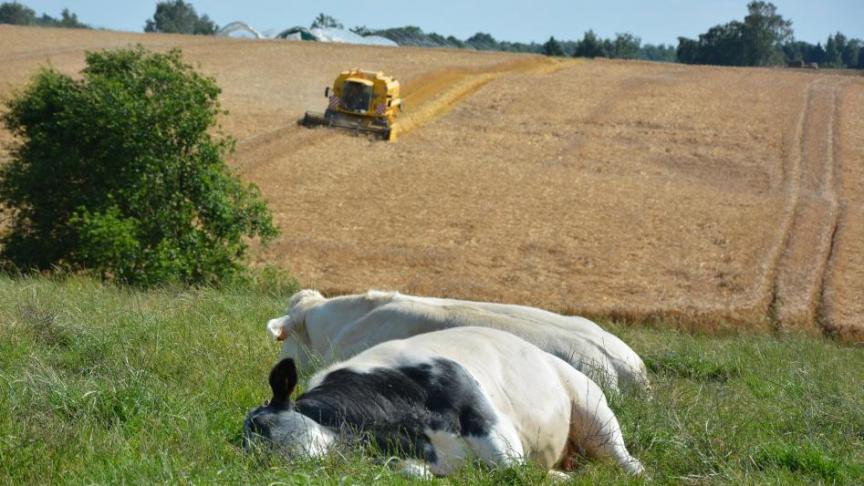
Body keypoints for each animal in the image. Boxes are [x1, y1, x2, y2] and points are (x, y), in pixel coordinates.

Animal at [241, 326, 640, 478]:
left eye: (265, 428)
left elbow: (513, 469)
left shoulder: (489, 425)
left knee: (624, 458)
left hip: (594, 409)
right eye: (247, 446)